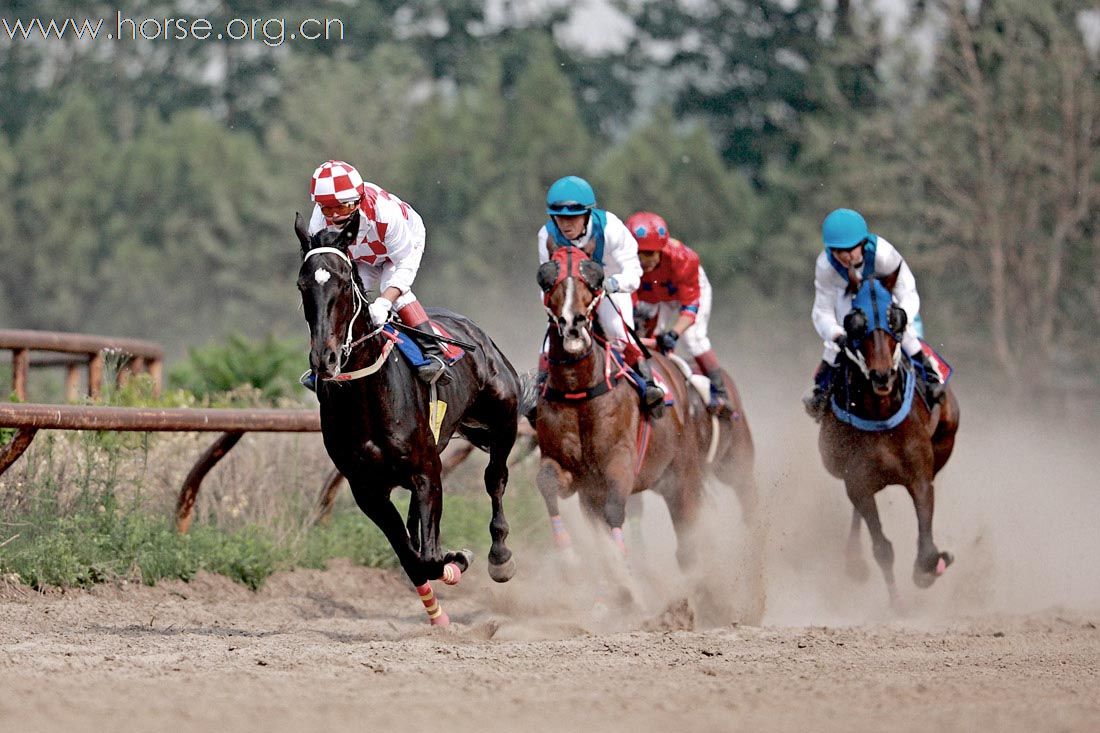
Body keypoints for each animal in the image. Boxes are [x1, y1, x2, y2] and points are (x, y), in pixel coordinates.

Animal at [297, 211, 523, 620]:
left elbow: (429, 556)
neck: (367, 398)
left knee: (495, 479)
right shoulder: (367, 489)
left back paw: (500, 556)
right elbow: (413, 558)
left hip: (504, 418)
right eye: (303, 284)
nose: (325, 359)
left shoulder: (426, 471)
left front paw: (458, 559)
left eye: (343, 282)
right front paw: (439, 603)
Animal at [530, 245, 748, 581]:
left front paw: (627, 574)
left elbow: (615, 511)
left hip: (699, 471)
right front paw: (570, 560)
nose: (572, 325)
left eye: (594, 278)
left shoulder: (620, 461)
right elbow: (548, 484)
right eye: (547, 278)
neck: (579, 390)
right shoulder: (574, 475)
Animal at [818, 270, 963, 603]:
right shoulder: (858, 482)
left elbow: (926, 543)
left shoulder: (919, 476)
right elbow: (882, 547)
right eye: (855, 323)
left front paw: (930, 567)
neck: (881, 413)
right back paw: (854, 560)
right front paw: (897, 603)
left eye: (895, 318)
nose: (882, 375)